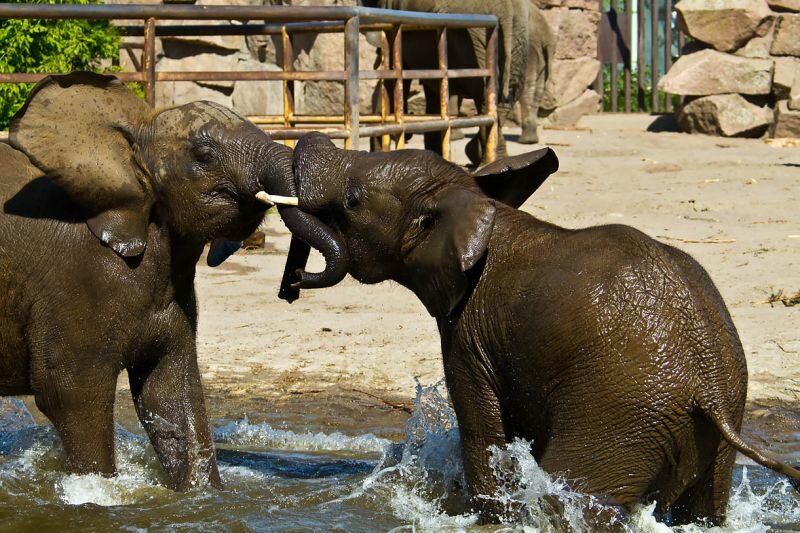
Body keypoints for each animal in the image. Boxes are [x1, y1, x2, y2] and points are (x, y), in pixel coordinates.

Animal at [0, 72, 342, 488]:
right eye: (205, 154)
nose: (292, 284)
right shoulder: (74, 286)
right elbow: (69, 395)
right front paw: (98, 492)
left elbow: (170, 393)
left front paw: (202, 494)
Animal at [276, 130, 800, 524]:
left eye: (352, 201)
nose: (293, 282)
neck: (476, 208)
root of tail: (708, 387)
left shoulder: (469, 332)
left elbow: (483, 434)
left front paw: (489, 518)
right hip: (713, 426)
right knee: (706, 506)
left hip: (622, 414)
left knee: (571, 492)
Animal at [362, 0, 532, 165]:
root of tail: (507, 11)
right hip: (516, 38)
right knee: (500, 102)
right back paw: (493, 160)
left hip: (470, 40)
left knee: (484, 97)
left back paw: (485, 163)